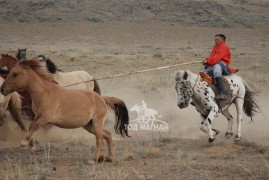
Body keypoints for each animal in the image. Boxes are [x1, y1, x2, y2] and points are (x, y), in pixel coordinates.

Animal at [0, 59, 130, 163]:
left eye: (15, 74)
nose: (2, 89)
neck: (44, 92)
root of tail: (102, 99)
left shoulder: (45, 118)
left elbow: (34, 127)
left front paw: (24, 142)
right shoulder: (37, 116)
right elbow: (31, 126)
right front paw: (30, 145)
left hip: (97, 124)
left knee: (100, 140)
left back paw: (93, 160)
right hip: (89, 125)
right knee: (108, 135)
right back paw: (110, 158)